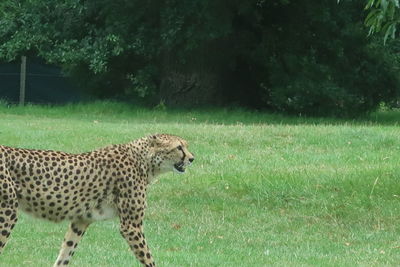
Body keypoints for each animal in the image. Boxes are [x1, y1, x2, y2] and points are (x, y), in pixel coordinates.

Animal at [0, 135, 194, 266]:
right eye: (179, 147)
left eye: (185, 146)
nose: (192, 158)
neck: (143, 161)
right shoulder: (131, 226)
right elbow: (148, 258)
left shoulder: (80, 221)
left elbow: (65, 254)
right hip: (7, 212)